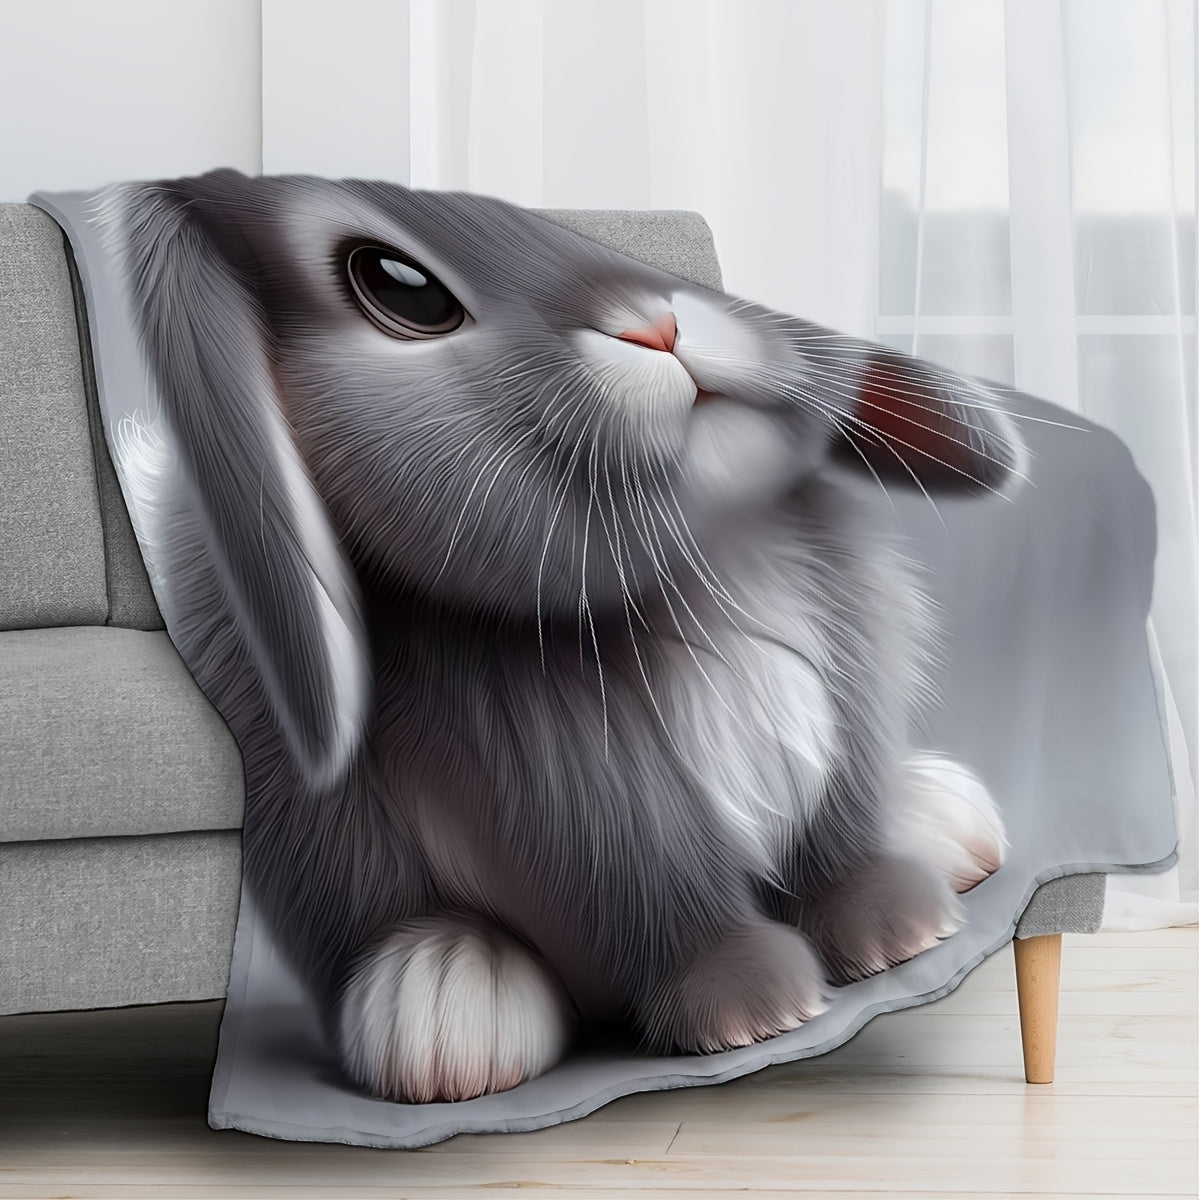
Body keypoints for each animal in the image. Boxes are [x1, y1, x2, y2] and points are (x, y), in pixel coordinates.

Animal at [98, 167, 1020, 1105]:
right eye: (400, 287)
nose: (662, 323)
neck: (695, 567)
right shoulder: (588, 808)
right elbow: (661, 895)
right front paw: (756, 1008)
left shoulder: (847, 692)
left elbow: (842, 838)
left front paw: (899, 928)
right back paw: (445, 999)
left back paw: (945, 818)